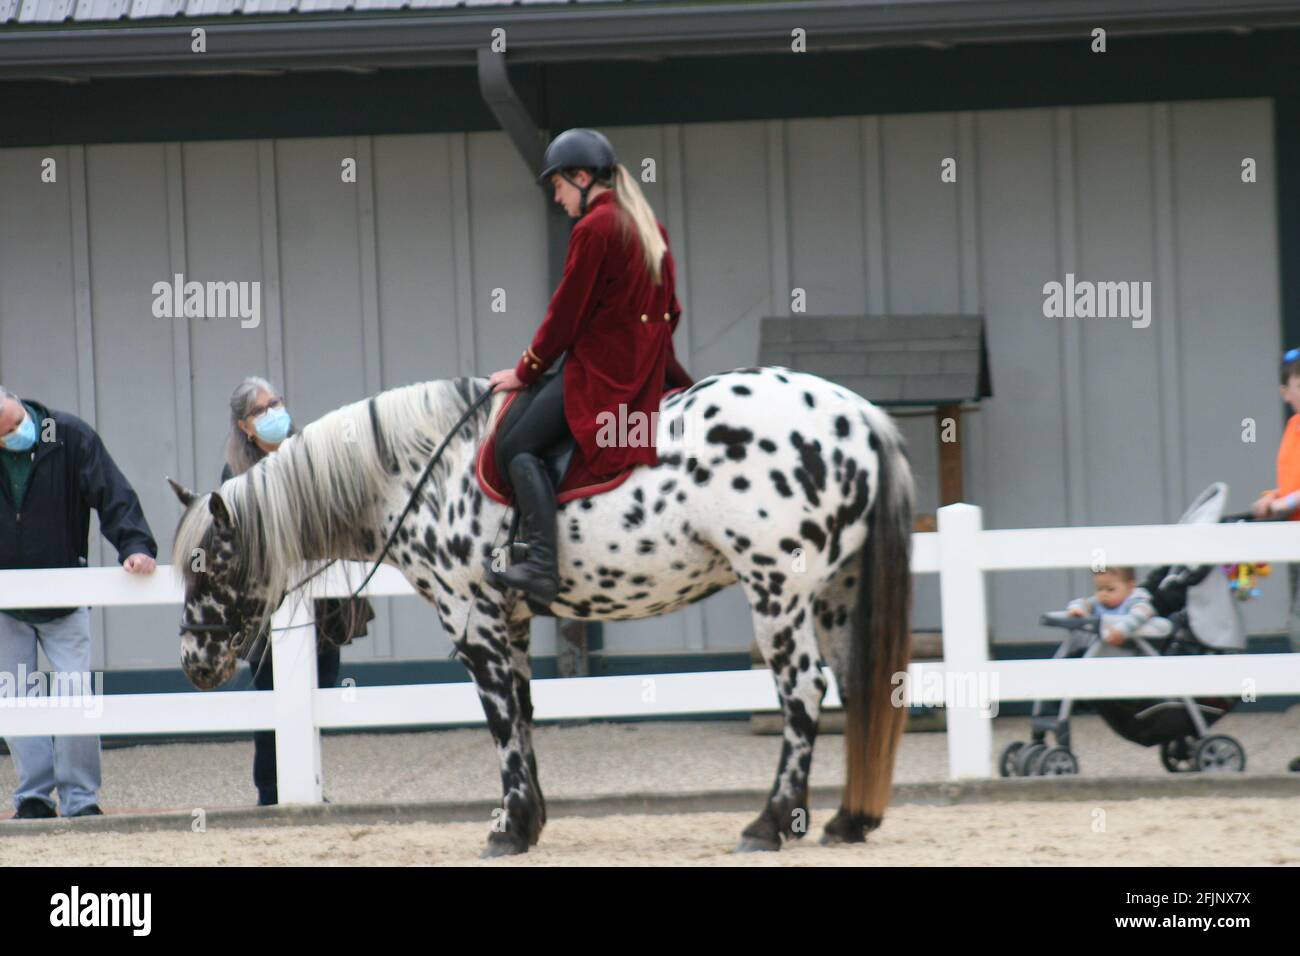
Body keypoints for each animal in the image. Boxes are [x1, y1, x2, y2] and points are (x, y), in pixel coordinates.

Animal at [167, 366, 914, 856]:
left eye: (208, 565)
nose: (194, 662)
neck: (419, 473)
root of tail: (854, 413)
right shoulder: (513, 623)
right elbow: (523, 715)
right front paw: (531, 820)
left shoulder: (472, 620)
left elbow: (501, 720)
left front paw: (510, 828)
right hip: (836, 593)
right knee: (855, 684)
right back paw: (845, 821)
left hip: (777, 591)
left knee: (803, 691)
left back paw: (771, 822)